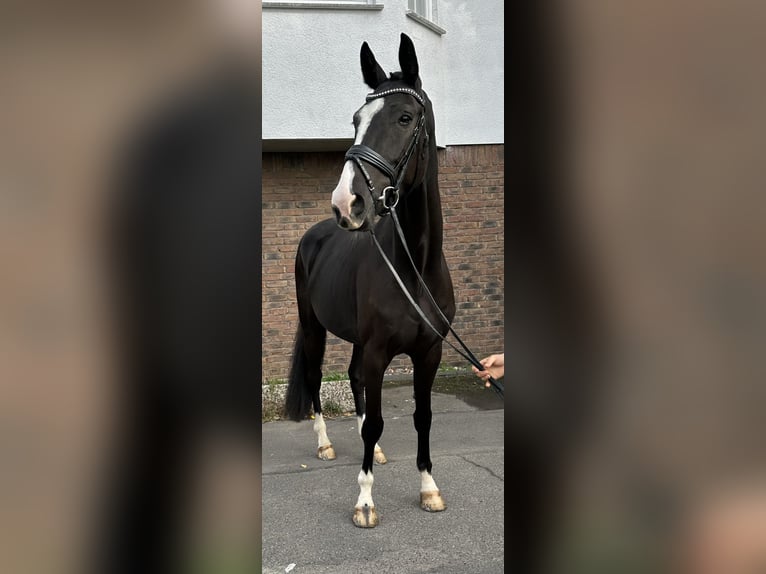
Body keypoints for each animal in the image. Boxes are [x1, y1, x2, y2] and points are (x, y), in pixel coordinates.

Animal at [286, 32, 456, 532]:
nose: (348, 203)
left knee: (355, 377)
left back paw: (373, 451)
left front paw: (429, 489)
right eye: (356, 120)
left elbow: (422, 416)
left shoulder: (429, 352)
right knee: (317, 377)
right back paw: (325, 444)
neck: (414, 268)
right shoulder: (381, 350)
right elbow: (380, 416)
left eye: (404, 117)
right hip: (314, 327)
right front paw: (364, 502)